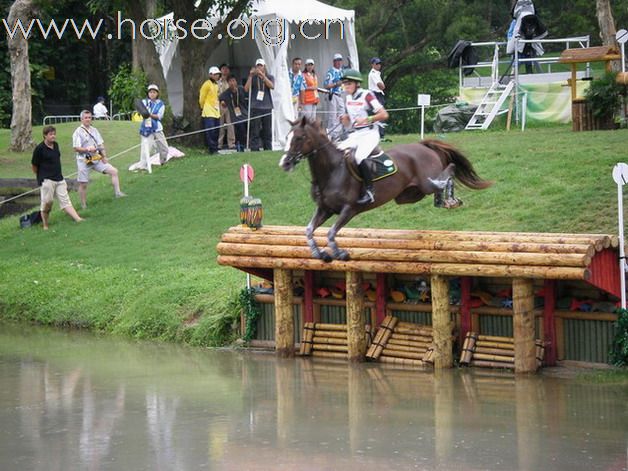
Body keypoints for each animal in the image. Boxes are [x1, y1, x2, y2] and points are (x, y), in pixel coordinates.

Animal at [278, 115, 490, 262]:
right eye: (287, 137)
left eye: (300, 137)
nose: (285, 163)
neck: (332, 171)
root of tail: (423, 146)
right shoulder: (325, 209)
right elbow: (308, 230)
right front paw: (319, 253)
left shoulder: (349, 209)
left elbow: (330, 232)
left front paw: (340, 253)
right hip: (408, 195)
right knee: (437, 185)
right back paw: (442, 201)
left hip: (425, 183)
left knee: (449, 170)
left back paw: (451, 200)